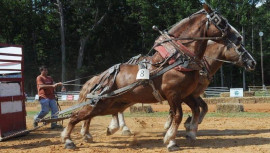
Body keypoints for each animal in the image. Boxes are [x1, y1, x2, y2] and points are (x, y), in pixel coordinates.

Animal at [104, 39, 256, 141]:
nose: (252, 62)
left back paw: (116, 127)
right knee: (118, 108)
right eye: (239, 48)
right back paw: (122, 128)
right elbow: (180, 110)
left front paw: (190, 124)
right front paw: (177, 125)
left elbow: (203, 107)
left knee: (117, 107)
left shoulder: (192, 94)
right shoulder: (184, 94)